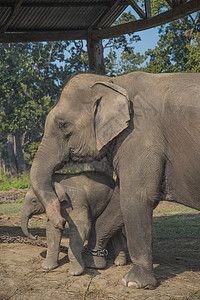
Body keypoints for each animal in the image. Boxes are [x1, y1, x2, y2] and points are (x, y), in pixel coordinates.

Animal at [29, 71, 200, 290]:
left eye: (63, 125)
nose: (60, 221)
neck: (114, 81)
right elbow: (119, 198)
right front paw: (94, 262)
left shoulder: (140, 137)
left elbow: (136, 198)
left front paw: (133, 282)